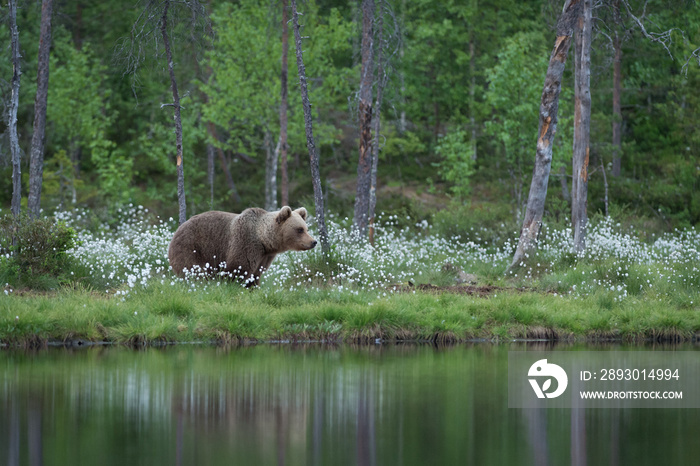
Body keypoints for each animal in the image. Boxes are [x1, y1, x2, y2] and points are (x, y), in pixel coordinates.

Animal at [168, 206, 316, 286]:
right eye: (299, 229)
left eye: (306, 228)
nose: (313, 242)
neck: (264, 240)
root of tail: (177, 229)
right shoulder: (246, 242)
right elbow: (238, 268)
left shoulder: (265, 257)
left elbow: (255, 275)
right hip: (191, 248)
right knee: (194, 270)